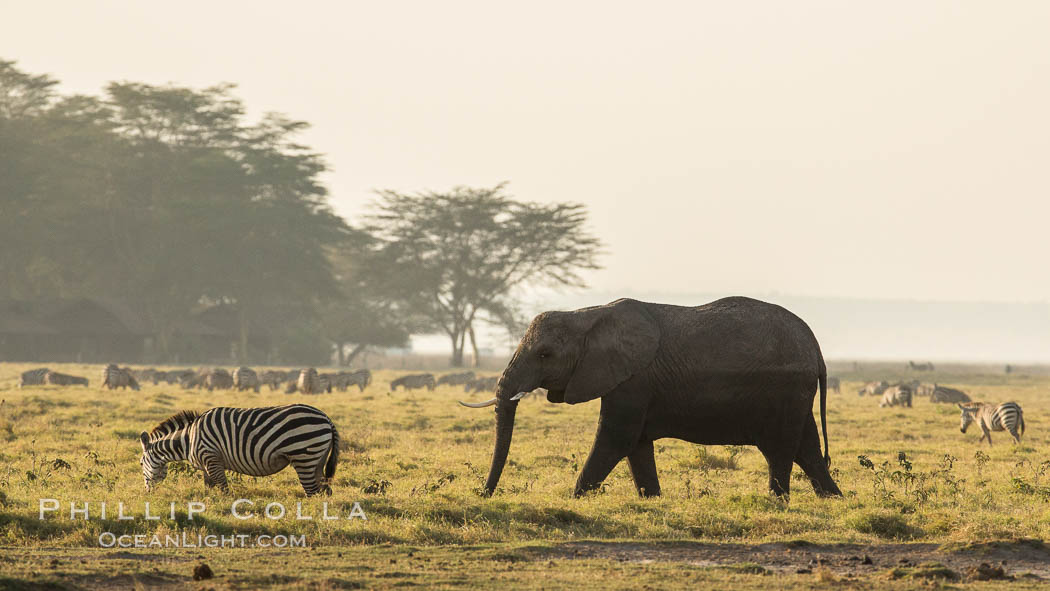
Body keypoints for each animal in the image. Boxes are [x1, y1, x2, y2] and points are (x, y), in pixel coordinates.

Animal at [139, 405, 340, 497]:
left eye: (141, 464)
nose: (147, 493)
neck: (189, 438)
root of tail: (326, 418)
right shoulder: (206, 465)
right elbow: (209, 486)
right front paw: (209, 505)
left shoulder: (212, 458)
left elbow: (223, 487)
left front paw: (228, 508)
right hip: (318, 459)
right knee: (325, 490)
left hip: (304, 456)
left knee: (312, 491)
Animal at [461, 296, 844, 499]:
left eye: (545, 354)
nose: (484, 495)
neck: (588, 314)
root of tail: (816, 348)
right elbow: (637, 446)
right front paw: (653, 501)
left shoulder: (633, 380)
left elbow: (616, 438)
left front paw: (574, 501)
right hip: (795, 393)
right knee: (807, 449)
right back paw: (833, 500)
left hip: (784, 389)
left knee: (780, 449)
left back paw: (778, 501)